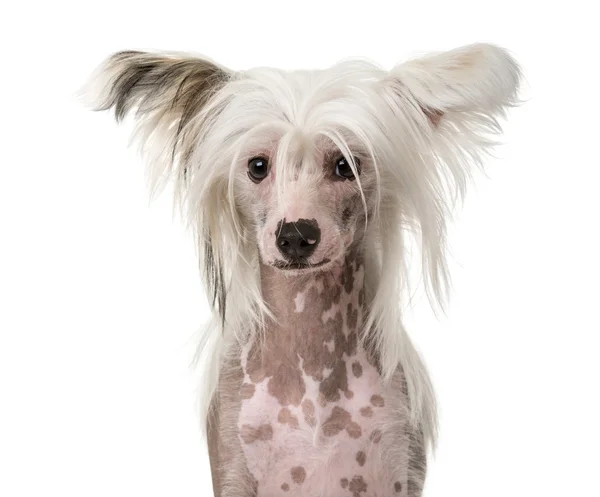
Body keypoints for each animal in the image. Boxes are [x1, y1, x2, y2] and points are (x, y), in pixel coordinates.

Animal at [83, 43, 520, 496]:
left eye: (346, 166)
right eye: (257, 166)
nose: (295, 235)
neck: (310, 360)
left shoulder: (400, 469)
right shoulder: (233, 470)